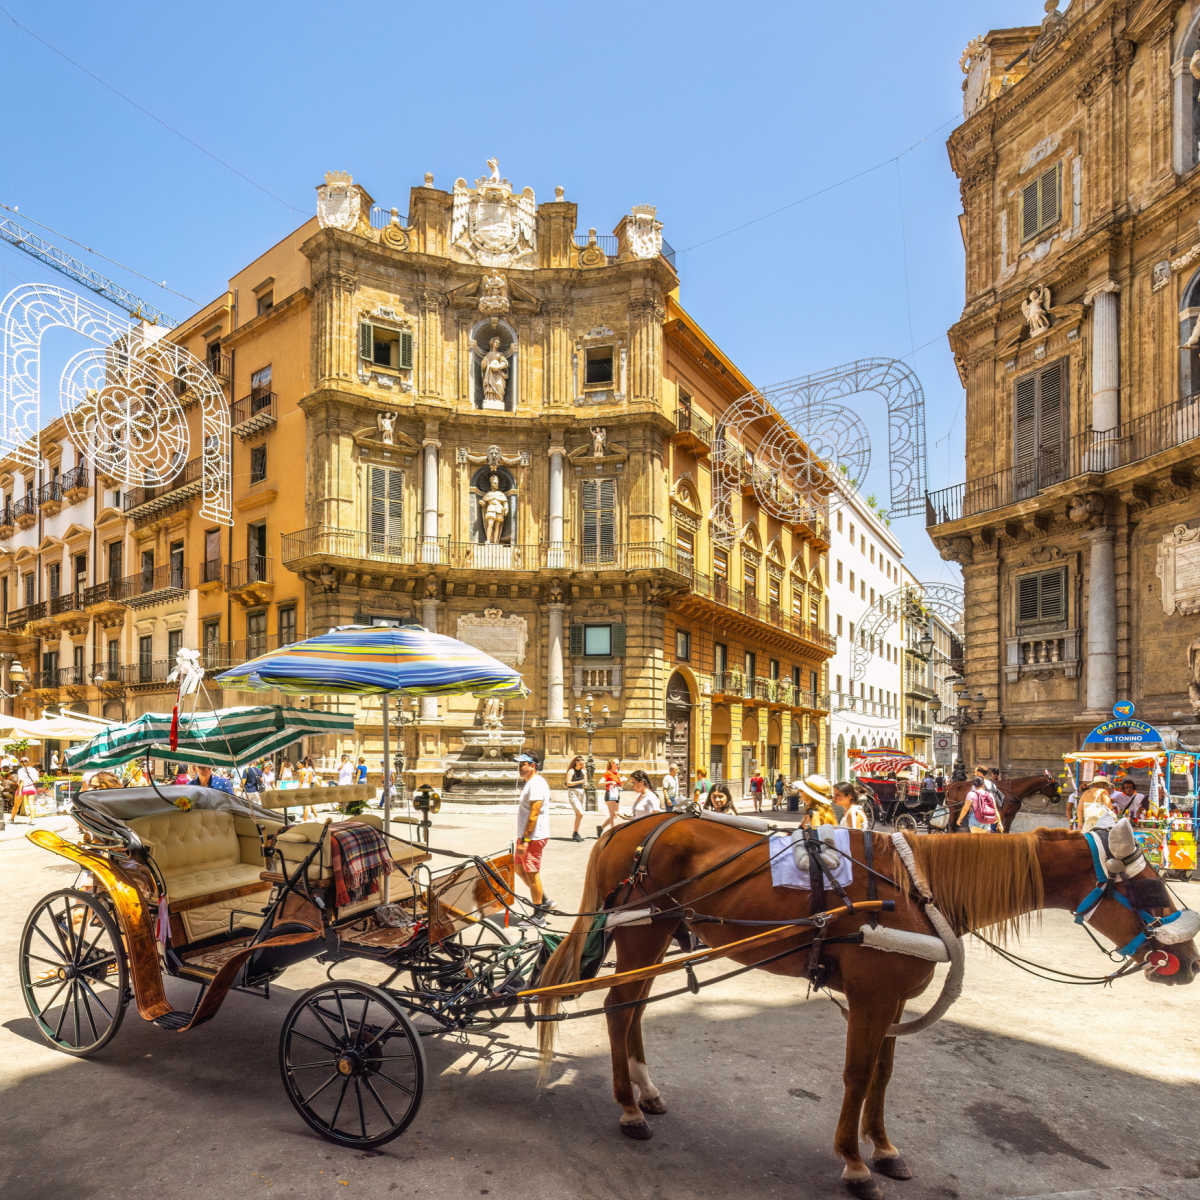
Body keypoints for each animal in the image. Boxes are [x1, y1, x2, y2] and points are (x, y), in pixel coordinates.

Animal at [540, 816, 1195, 1200]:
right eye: (1147, 888)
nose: (1188, 960)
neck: (917, 888)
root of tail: (630, 826)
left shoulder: (893, 999)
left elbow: (883, 1074)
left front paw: (883, 1148)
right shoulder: (870, 996)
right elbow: (857, 1075)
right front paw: (853, 1162)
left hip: (656, 938)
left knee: (635, 1009)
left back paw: (646, 1092)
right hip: (643, 932)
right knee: (619, 1009)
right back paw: (629, 1109)